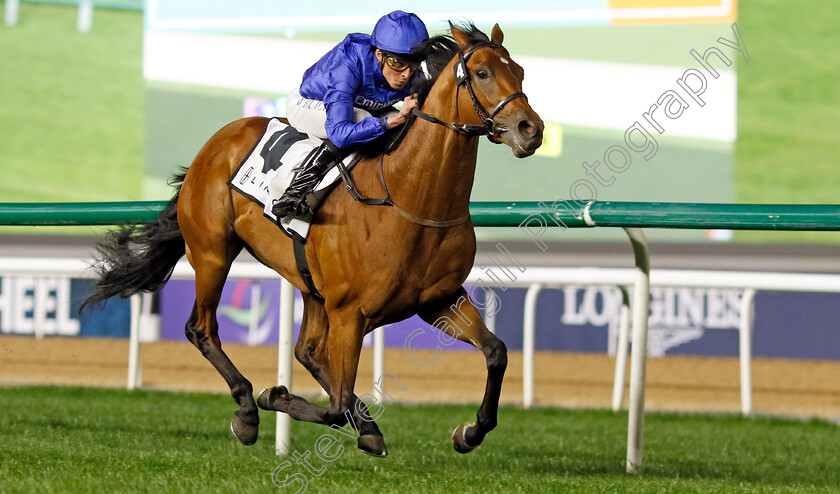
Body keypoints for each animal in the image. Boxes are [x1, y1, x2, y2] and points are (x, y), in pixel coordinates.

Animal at [85, 23, 544, 456]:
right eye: (482, 72)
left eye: (521, 71)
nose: (531, 129)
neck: (410, 198)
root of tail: (218, 140)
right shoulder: (351, 312)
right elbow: (335, 406)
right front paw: (274, 395)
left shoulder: (439, 300)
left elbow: (496, 352)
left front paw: (469, 432)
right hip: (212, 252)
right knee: (202, 329)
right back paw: (249, 409)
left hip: (310, 284)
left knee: (306, 350)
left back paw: (363, 427)